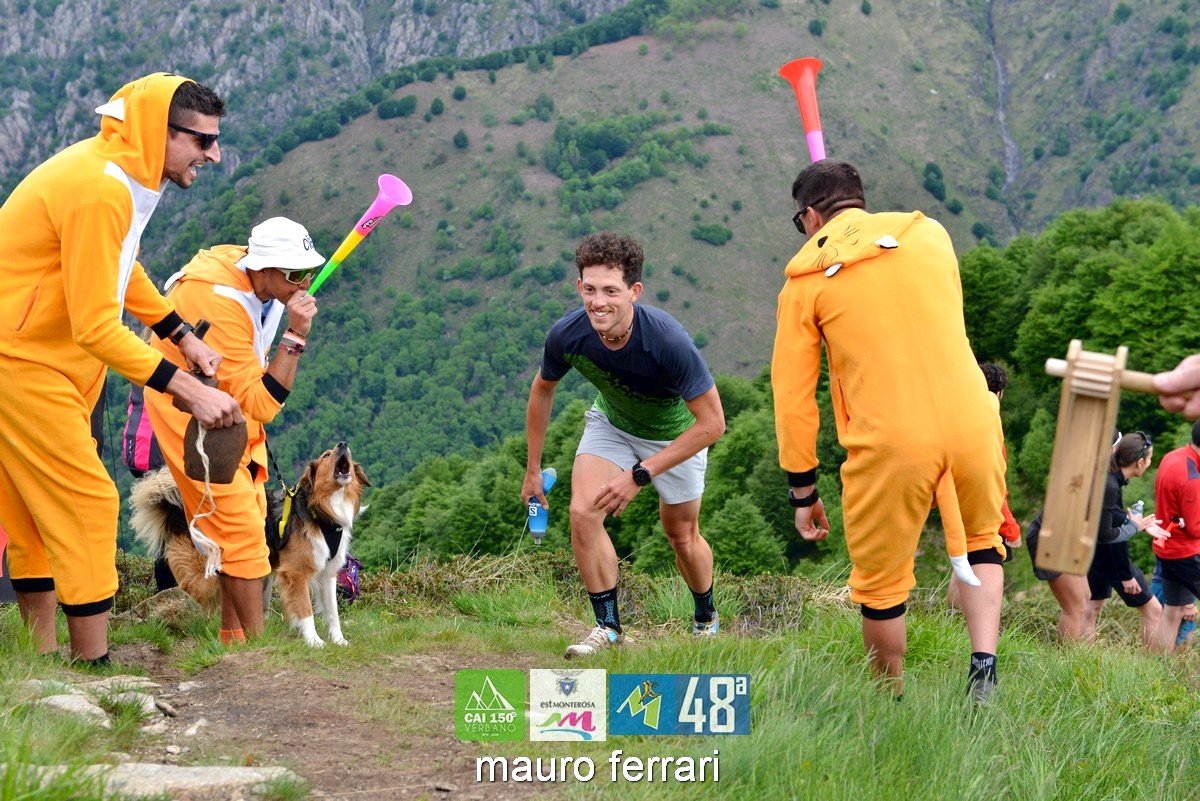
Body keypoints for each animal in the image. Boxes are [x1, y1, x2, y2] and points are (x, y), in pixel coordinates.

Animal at [132, 441, 371, 647]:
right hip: (202, 577)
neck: (322, 511)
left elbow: (332, 613)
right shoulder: (295, 573)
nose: (343, 444)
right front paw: (313, 641)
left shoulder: (328, 573)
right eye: (326, 456)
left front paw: (339, 640)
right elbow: (305, 610)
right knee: (184, 597)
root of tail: (179, 514)